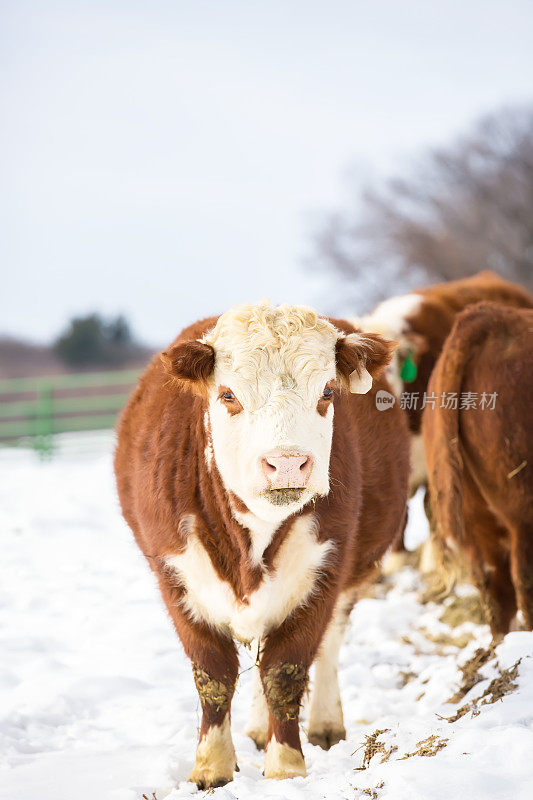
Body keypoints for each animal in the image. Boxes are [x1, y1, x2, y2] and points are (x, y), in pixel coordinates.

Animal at [115, 300, 408, 788]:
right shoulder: (176, 576)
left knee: (328, 642)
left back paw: (324, 723)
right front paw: (212, 766)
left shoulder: (324, 572)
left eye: (327, 391)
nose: (286, 463)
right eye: (228, 395)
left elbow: (285, 672)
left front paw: (286, 766)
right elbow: (213, 674)